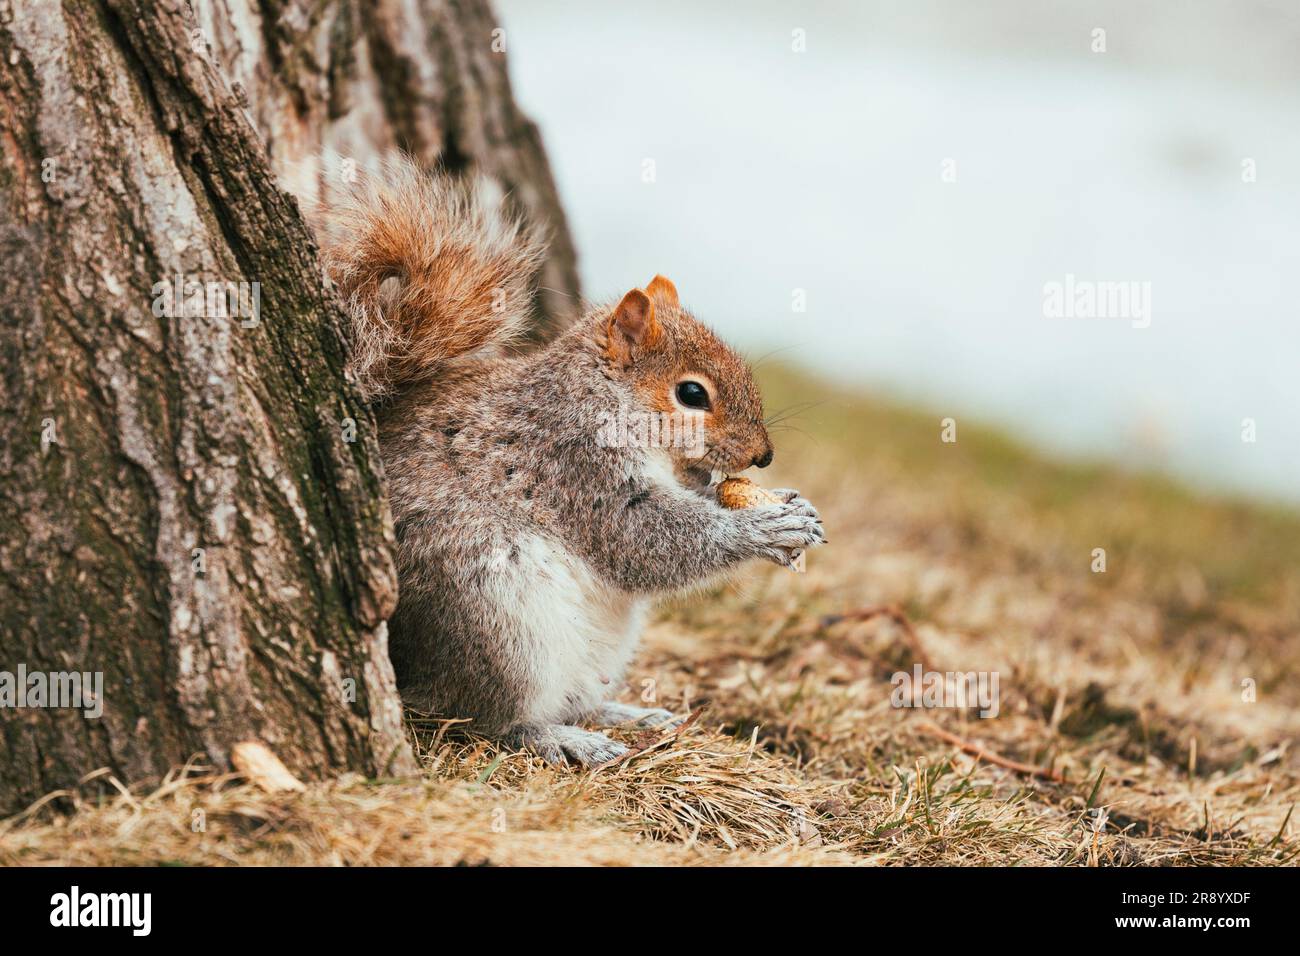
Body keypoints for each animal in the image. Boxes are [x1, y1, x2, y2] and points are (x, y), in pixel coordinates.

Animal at [314, 158, 821, 770]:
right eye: (692, 395)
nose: (762, 456)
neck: (599, 397)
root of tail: (408, 667)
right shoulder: (574, 463)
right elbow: (646, 539)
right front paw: (765, 526)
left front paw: (790, 502)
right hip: (494, 620)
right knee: (476, 718)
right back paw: (556, 737)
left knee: (573, 699)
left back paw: (626, 714)